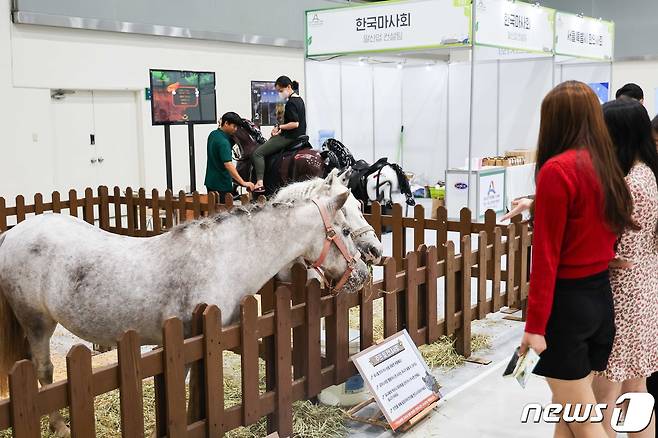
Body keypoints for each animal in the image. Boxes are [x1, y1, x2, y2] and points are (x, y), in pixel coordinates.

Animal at [0, 193, 366, 436]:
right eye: (346, 231)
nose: (362, 273)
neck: (223, 257)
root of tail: (12, 234)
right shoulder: (191, 339)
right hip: (37, 323)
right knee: (44, 371)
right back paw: (59, 425)